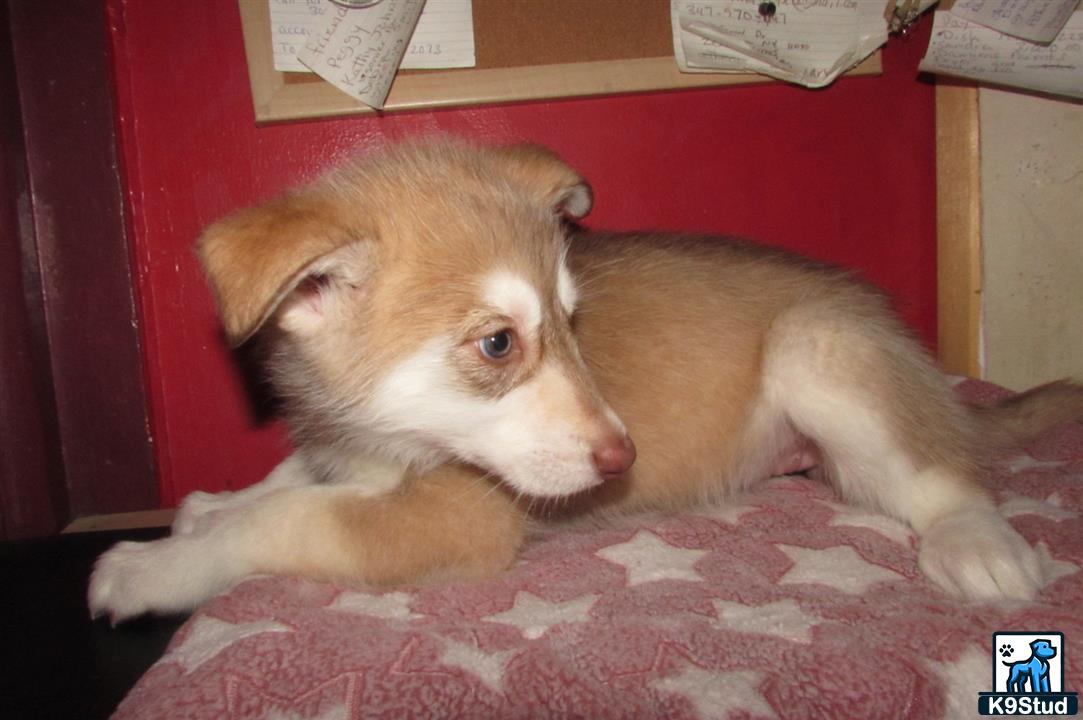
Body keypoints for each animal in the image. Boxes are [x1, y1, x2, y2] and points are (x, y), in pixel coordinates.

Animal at [86, 141, 1083, 623]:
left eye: (572, 320)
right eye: (497, 344)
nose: (622, 459)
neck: (392, 441)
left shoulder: (460, 517)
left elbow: (286, 516)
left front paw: (154, 567)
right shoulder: (356, 457)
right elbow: (290, 478)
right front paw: (206, 505)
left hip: (820, 347)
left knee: (944, 476)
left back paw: (976, 544)